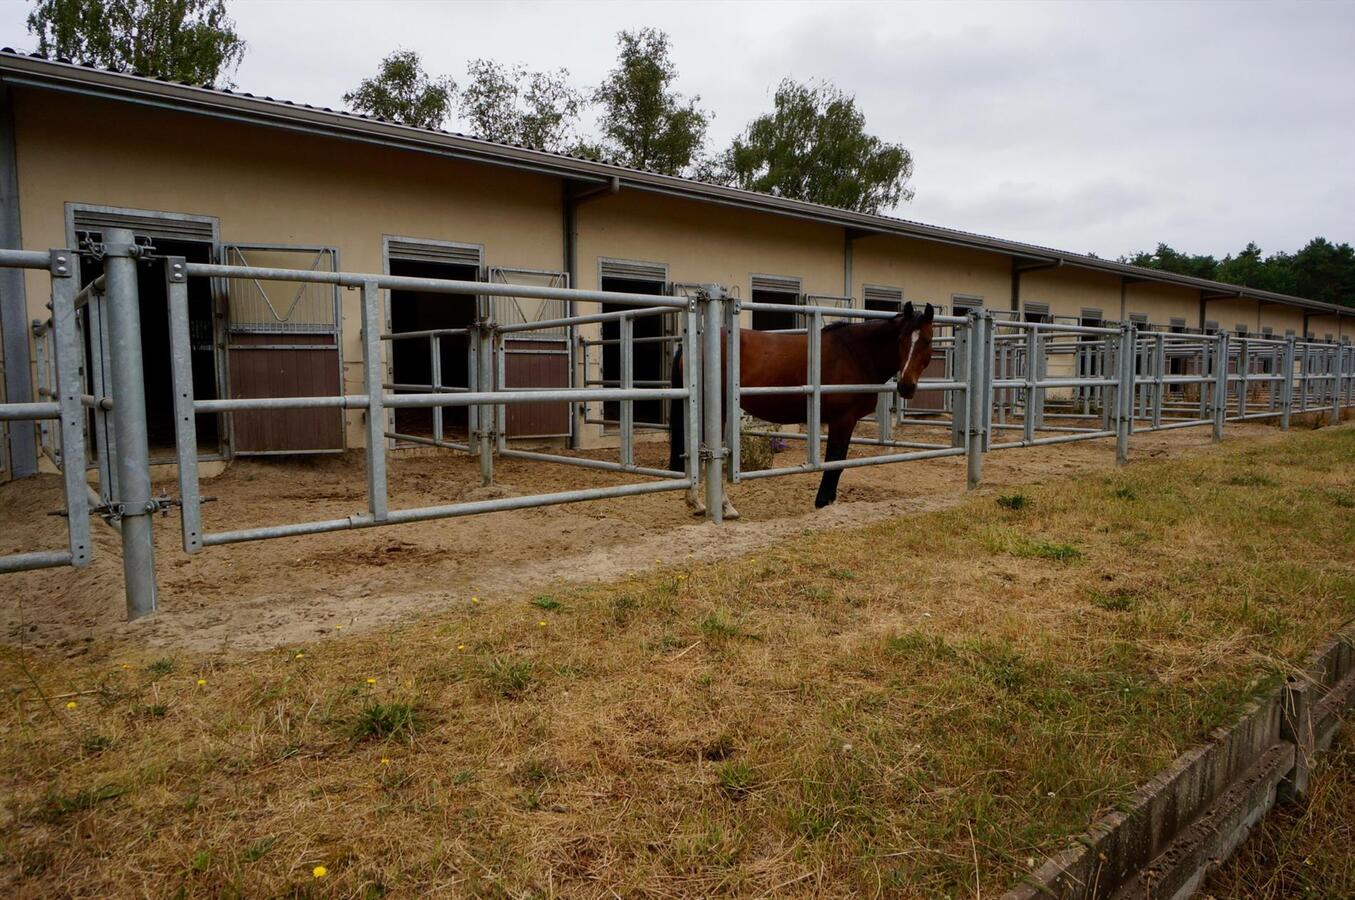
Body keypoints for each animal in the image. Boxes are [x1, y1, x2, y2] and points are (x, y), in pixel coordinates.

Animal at [666, 302, 932, 512]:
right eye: (901, 339)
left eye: (927, 341)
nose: (906, 386)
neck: (855, 353)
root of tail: (697, 343)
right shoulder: (842, 419)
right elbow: (835, 460)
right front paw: (823, 502)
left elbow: (840, 461)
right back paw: (722, 505)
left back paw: (699, 503)